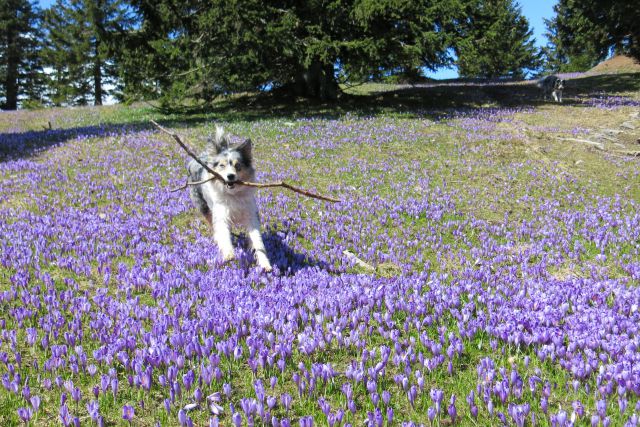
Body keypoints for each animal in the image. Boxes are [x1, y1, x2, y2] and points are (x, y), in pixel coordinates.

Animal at [188, 125, 272, 270]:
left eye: (238, 166)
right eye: (222, 165)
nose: (230, 176)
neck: (234, 194)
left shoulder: (251, 215)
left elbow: (257, 241)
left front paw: (264, 263)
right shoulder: (221, 214)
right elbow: (223, 233)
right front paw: (229, 253)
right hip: (203, 205)